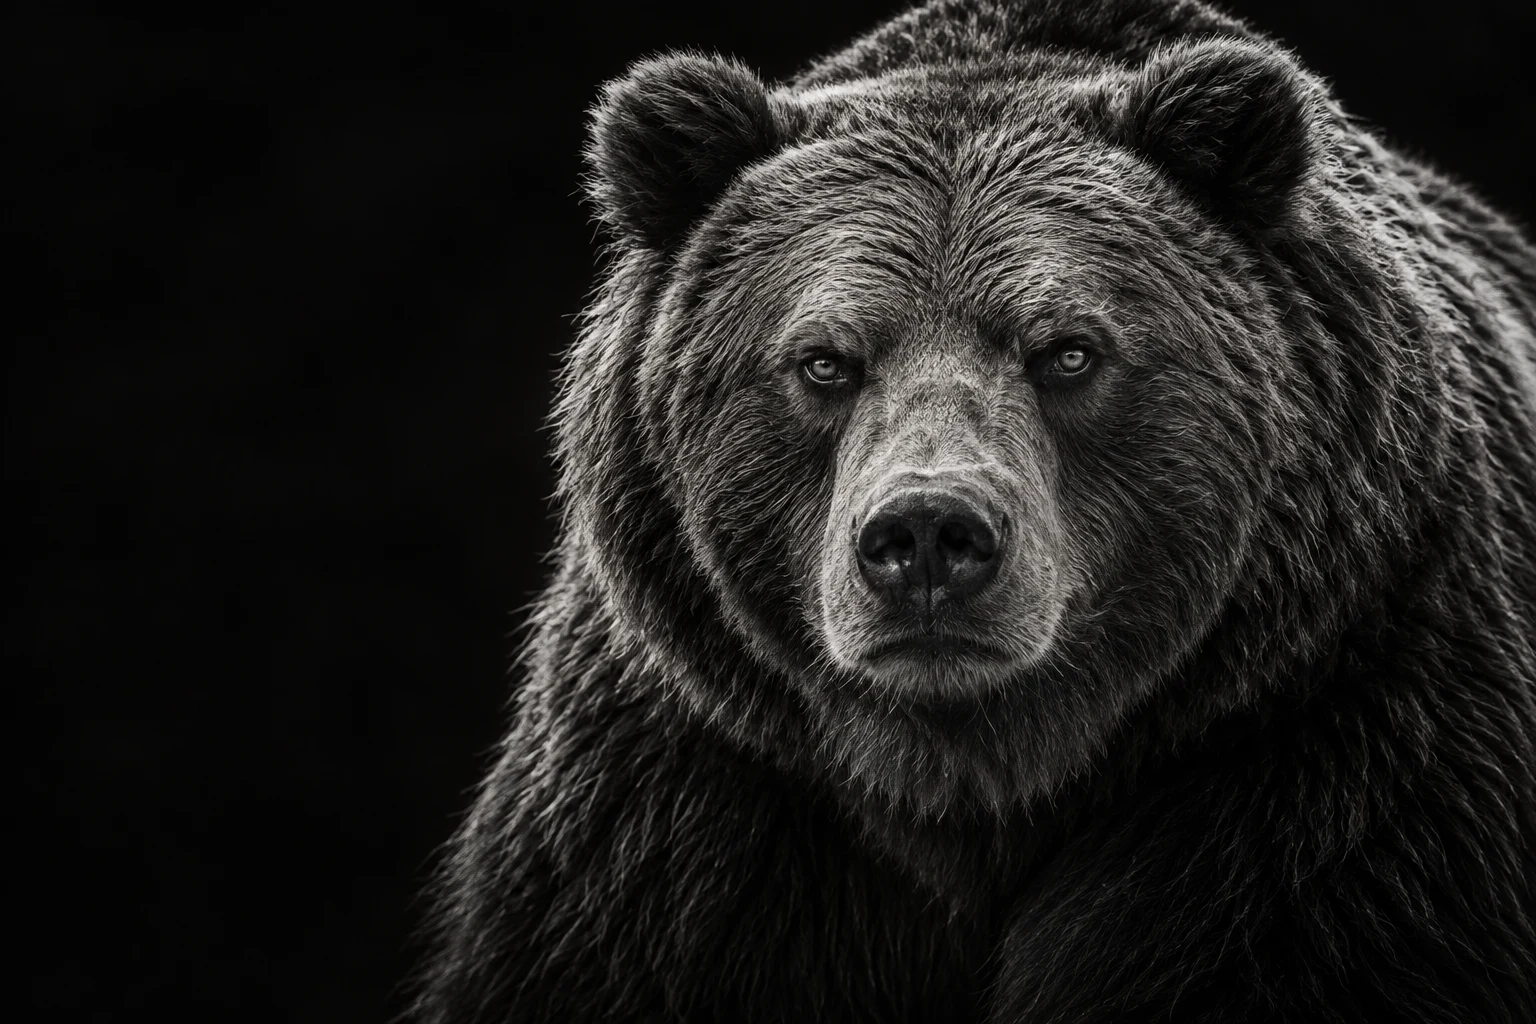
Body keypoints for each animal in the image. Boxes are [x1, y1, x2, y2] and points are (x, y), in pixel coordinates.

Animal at [411, 0, 1536, 1020]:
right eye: (824, 359)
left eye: (1068, 350)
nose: (925, 537)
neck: (970, 778)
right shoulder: (688, 812)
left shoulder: (1335, 763)